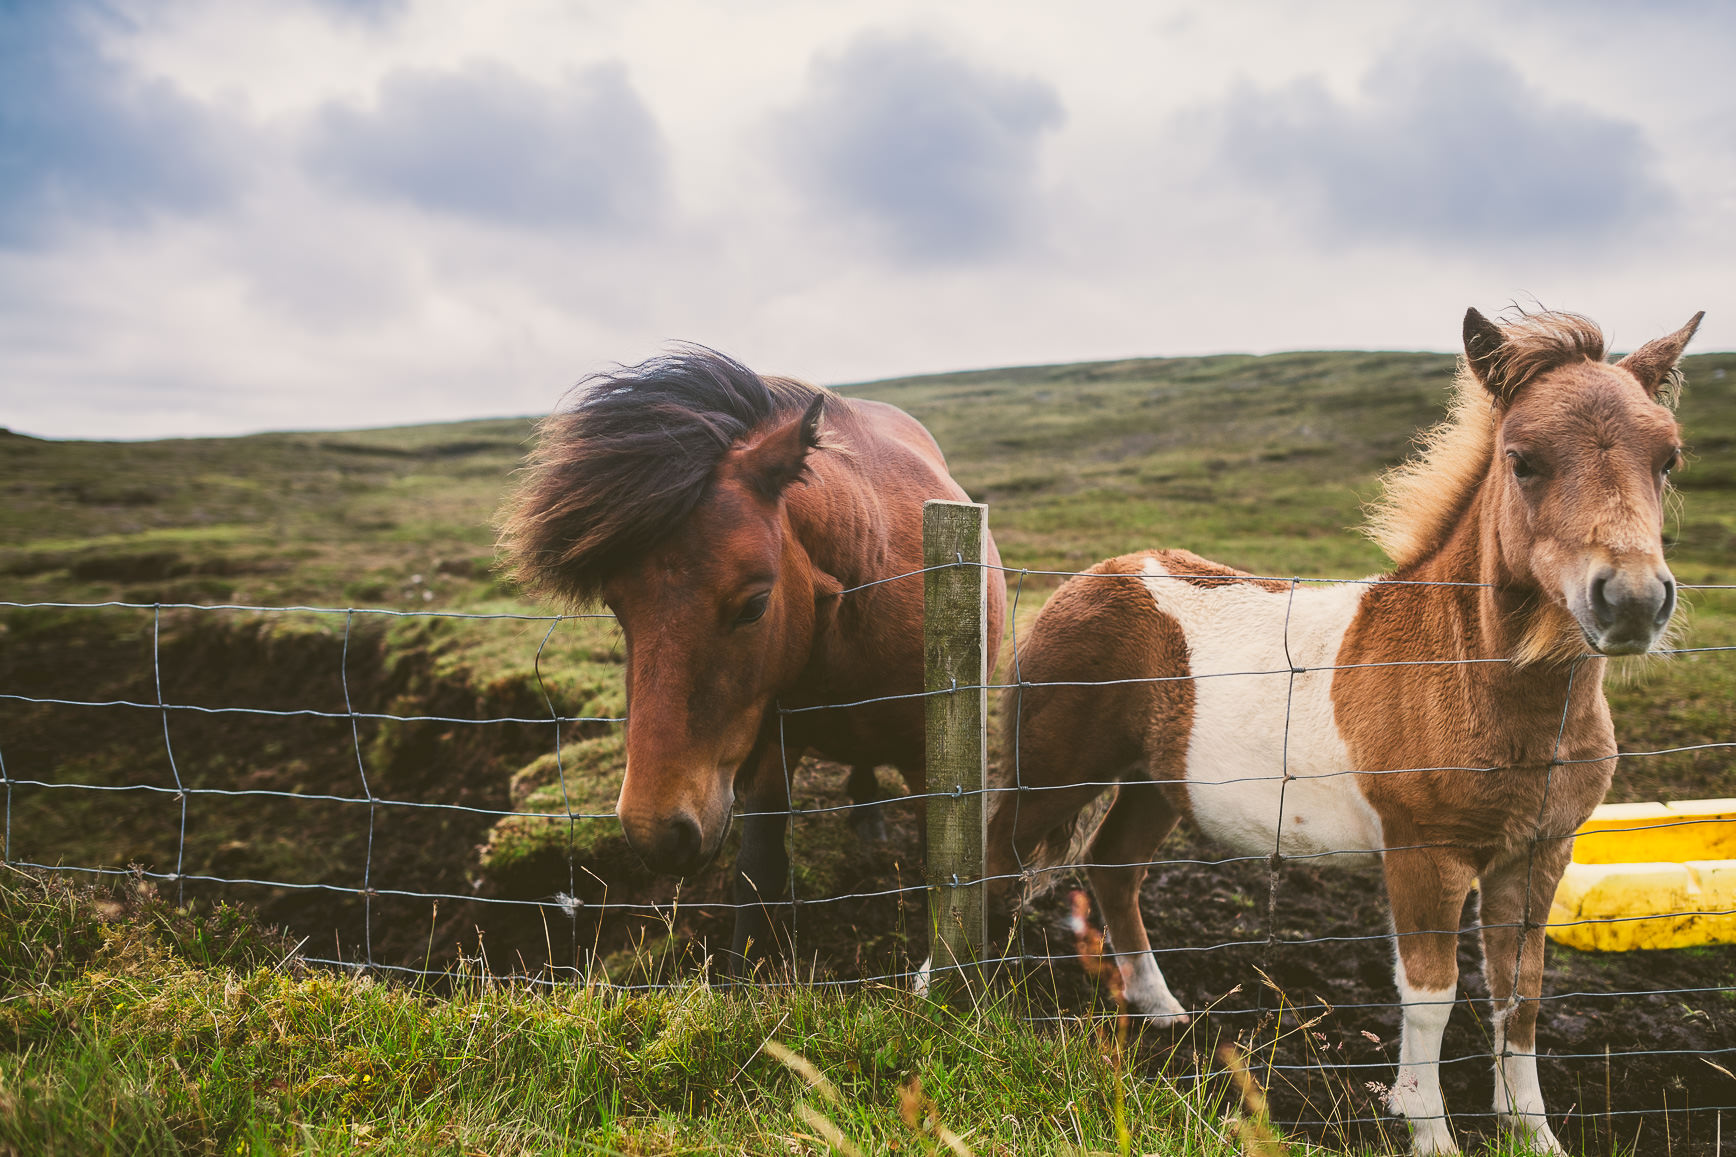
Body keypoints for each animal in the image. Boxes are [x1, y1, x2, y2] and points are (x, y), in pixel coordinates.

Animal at [503, 347, 1006, 965]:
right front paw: (744, 974)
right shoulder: (768, 748)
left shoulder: (928, 763)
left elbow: (943, 876)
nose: (656, 831)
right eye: (616, 605)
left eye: (754, 606)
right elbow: (758, 872)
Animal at [999, 305, 1701, 1153]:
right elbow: (1431, 992)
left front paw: (1531, 1131)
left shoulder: (1537, 853)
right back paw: (949, 990)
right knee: (991, 854)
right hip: (1053, 770)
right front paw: (1426, 1126)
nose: (1631, 601)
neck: (1473, 678)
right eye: (1523, 460)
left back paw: (1161, 1010)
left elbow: (1521, 991)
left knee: (1112, 867)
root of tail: (1088, 581)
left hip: (1154, 785)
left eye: (1667, 458)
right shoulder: (1425, 854)